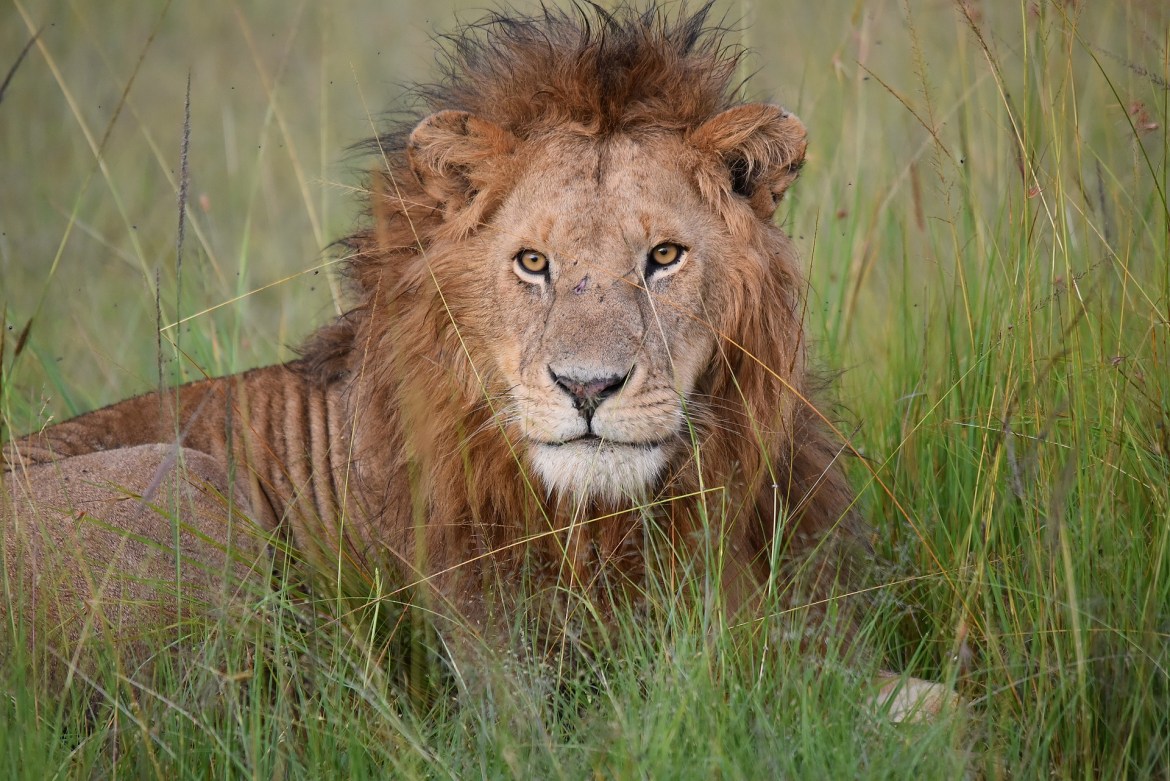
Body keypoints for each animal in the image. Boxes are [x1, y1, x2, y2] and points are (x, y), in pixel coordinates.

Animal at [0, 3, 950, 720]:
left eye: (665, 257)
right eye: (533, 263)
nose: (587, 387)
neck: (615, 520)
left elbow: (938, 702)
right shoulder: (514, 684)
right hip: (181, 482)